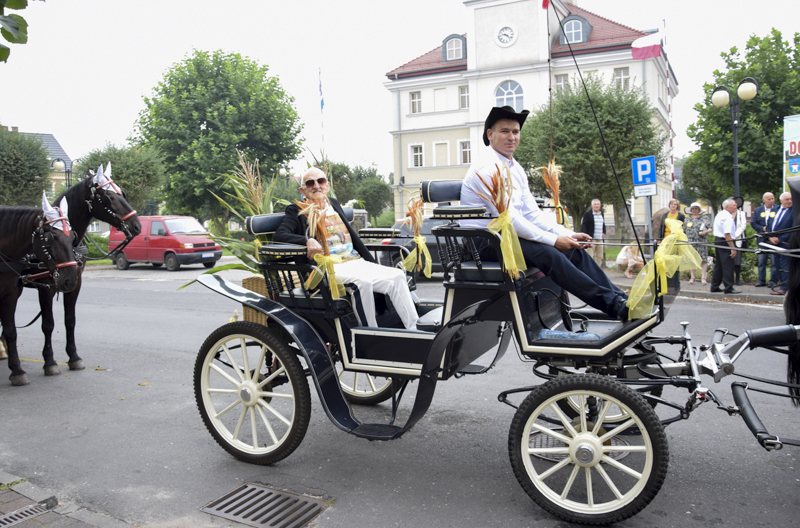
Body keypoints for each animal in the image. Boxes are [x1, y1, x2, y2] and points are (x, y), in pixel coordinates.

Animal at [1, 205, 80, 384]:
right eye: (51, 237)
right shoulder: (45, 289)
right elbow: (47, 324)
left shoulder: (11, 293)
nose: (70, 279)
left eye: (73, 236)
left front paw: (16, 370)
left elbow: (10, 331)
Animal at [26, 172, 141, 376]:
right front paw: (49, 361)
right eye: (108, 197)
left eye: (122, 193)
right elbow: (48, 324)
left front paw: (74, 357)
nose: (136, 225)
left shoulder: (75, 283)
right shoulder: (46, 287)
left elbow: (70, 320)